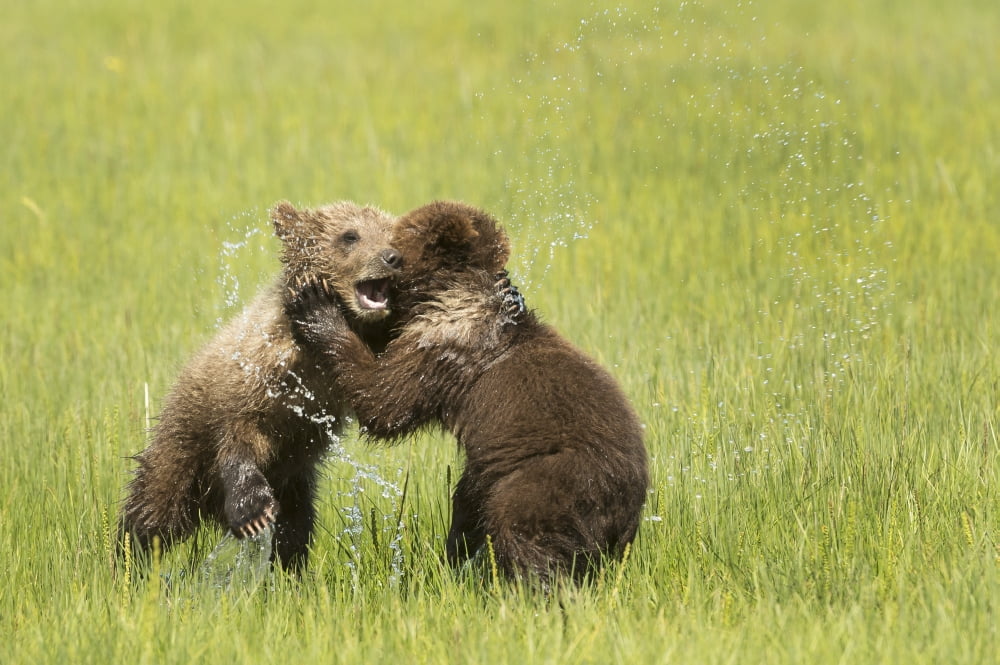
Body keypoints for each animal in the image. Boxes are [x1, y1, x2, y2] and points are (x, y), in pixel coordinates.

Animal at [117, 200, 404, 573]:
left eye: (393, 233)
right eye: (350, 235)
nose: (392, 257)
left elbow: (382, 399)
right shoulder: (254, 376)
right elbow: (239, 435)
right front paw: (253, 511)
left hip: (294, 482)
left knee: (296, 526)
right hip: (180, 447)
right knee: (154, 508)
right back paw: (128, 560)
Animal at [287, 200, 649, 585]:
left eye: (395, 235)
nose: (386, 255)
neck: (450, 294)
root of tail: (629, 511)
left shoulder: (442, 349)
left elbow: (385, 400)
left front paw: (315, 305)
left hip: (553, 477)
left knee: (523, 530)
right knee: (470, 503)